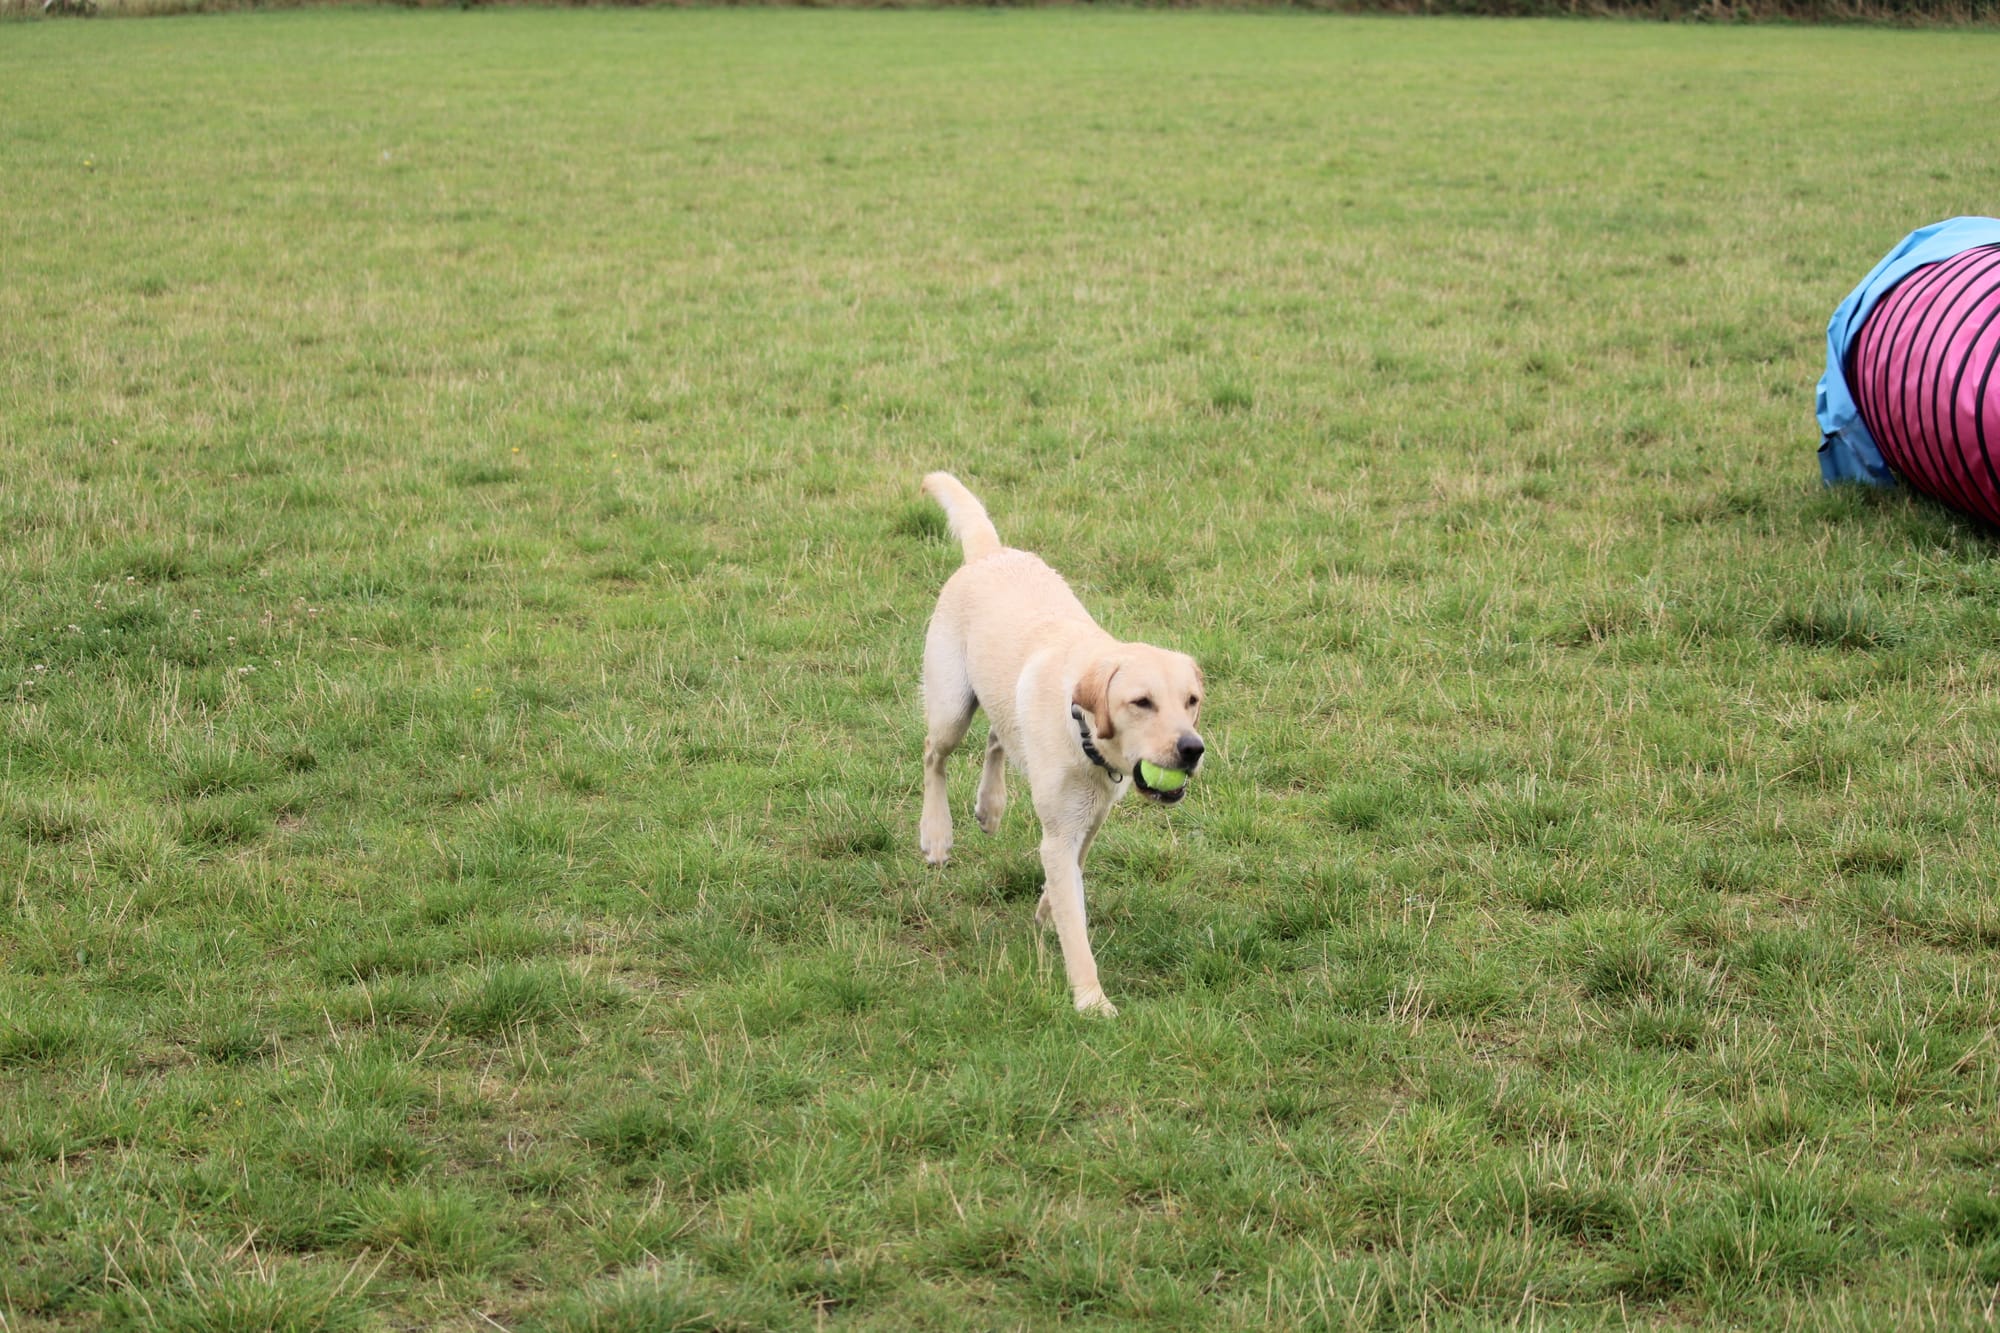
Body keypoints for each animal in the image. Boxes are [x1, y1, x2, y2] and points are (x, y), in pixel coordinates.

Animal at [917, 472, 1206, 1016]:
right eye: (1141, 702)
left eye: (1192, 700)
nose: (1192, 748)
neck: (1085, 732)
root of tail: (991, 552)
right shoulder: (1061, 829)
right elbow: (1076, 928)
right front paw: (1092, 1001)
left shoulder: (1090, 817)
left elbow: (1070, 874)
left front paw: (1048, 906)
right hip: (950, 707)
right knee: (934, 756)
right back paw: (937, 833)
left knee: (997, 737)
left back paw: (991, 805)